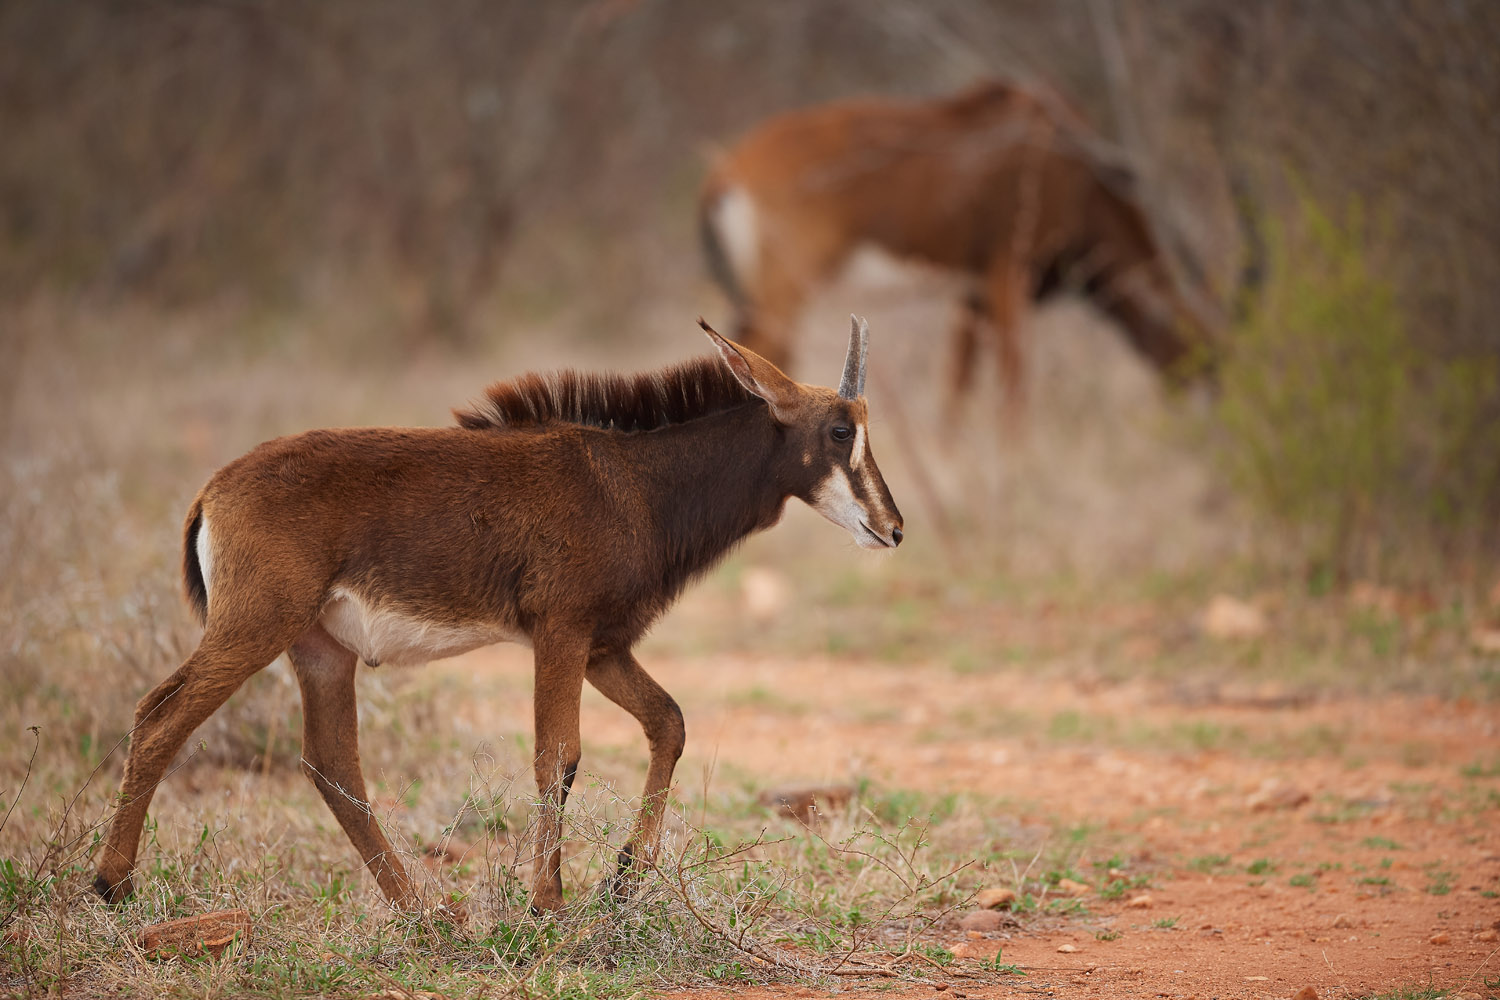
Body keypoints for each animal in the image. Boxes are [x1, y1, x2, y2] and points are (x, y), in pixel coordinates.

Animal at [99, 319, 906, 917]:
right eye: (841, 432)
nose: (893, 529)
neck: (636, 483)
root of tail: (213, 492)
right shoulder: (561, 632)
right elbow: (560, 756)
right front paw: (548, 901)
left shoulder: (603, 646)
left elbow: (669, 723)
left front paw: (624, 878)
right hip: (256, 626)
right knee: (159, 718)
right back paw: (112, 883)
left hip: (320, 647)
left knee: (330, 761)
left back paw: (420, 911)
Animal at [696, 79, 1224, 419]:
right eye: (1200, 360)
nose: (1199, 425)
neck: (1067, 163)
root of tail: (727, 172)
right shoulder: (1008, 276)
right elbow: (1013, 387)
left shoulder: (972, 294)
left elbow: (958, 390)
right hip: (783, 298)